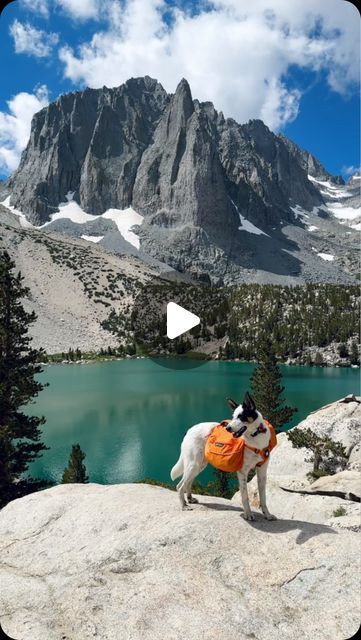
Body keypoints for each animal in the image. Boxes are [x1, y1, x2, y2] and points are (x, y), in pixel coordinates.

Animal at [170, 390, 278, 520]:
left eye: (241, 417)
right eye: (233, 417)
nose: (228, 428)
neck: (255, 437)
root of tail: (189, 430)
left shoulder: (262, 471)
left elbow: (263, 497)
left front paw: (267, 514)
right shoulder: (242, 472)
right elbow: (245, 496)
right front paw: (248, 514)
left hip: (199, 465)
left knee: (188, 482)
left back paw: (189, 499)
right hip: (193, 464)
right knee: (179, 486)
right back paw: (184, 506)